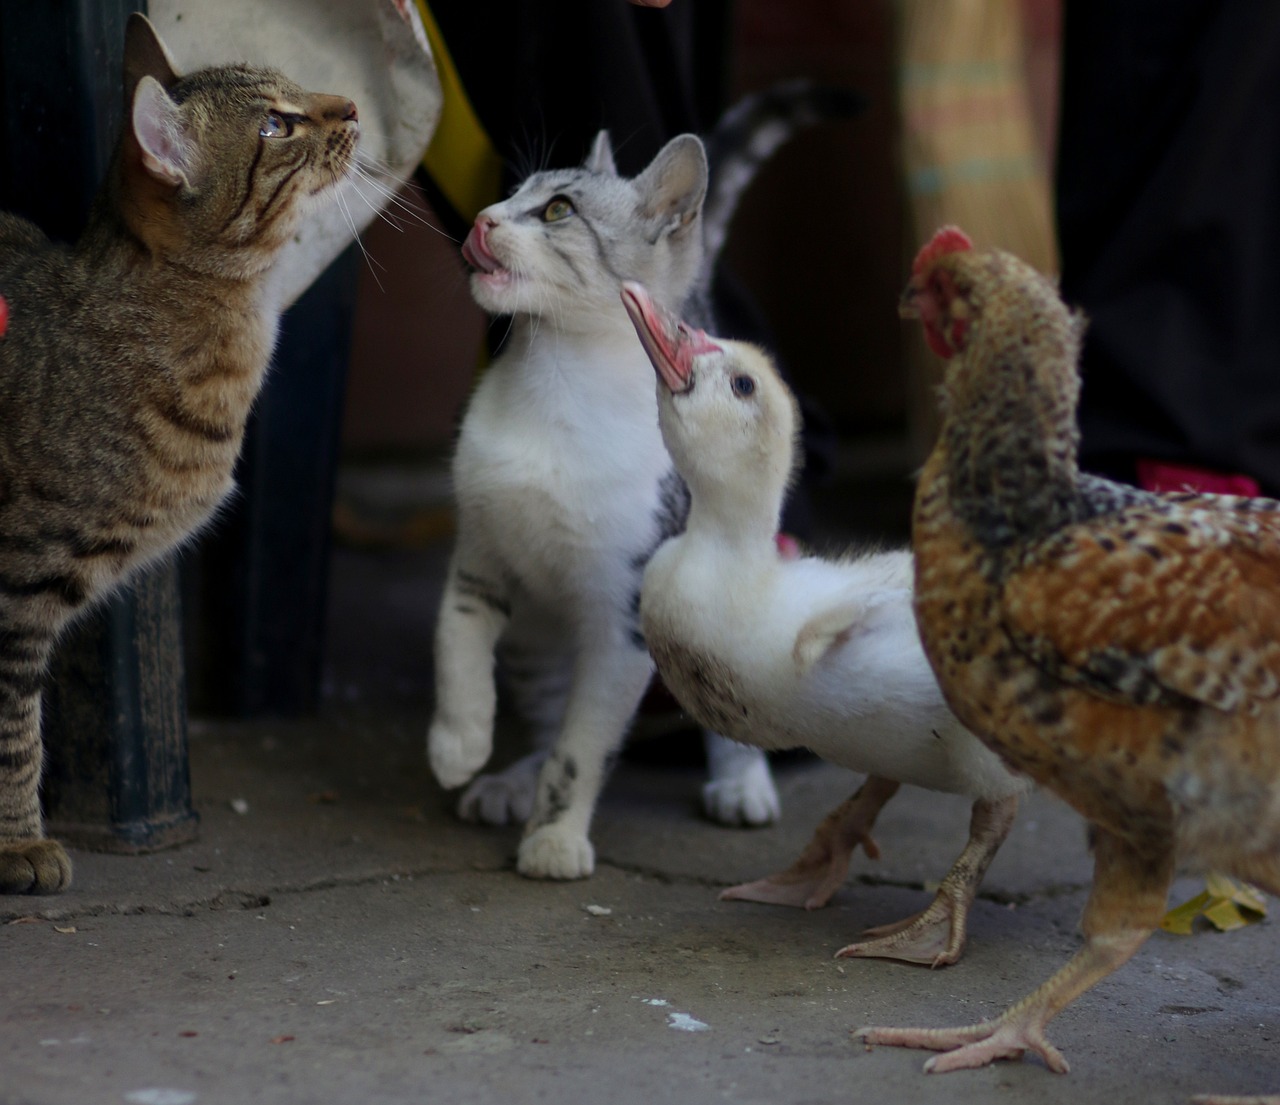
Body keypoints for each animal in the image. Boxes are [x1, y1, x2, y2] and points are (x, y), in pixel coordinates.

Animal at [0, 12, 360, 896]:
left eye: (297, 88)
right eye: (276, 126)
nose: (352, 105)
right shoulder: (16, 584)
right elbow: (14, 728)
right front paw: (17, 840)